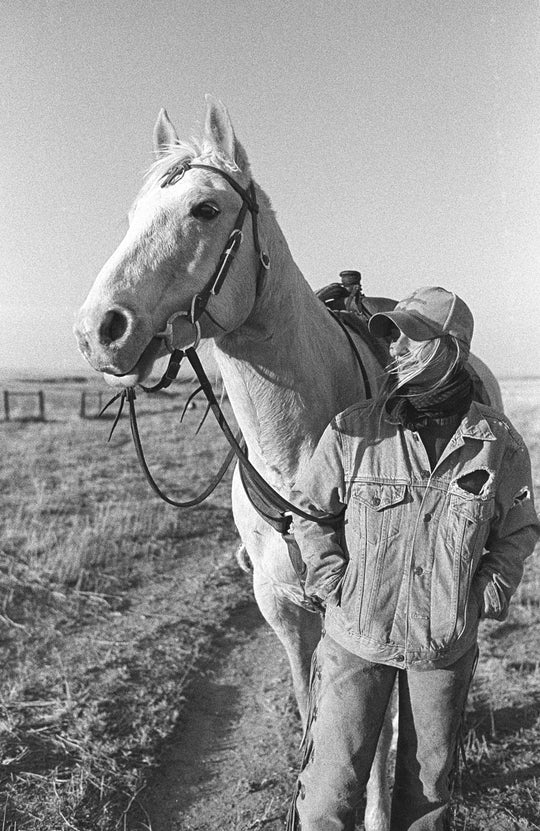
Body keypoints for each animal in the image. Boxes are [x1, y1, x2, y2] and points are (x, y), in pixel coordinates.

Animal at [73, 97, 502, 831]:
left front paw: (375, 809)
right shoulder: (281, 608)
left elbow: (377, 734)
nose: (99, 329)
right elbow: (313, 716)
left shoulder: (361, 612)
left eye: (206, 209)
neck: (300, 449)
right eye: (132, 215)